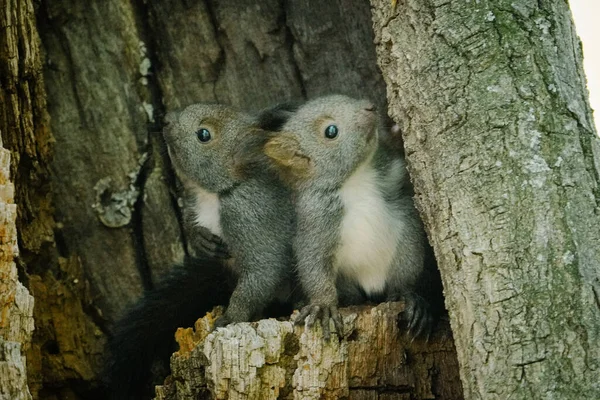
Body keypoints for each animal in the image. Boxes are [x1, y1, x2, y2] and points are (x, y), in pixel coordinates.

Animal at [264, 94, 442, 340]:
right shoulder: (316, 220)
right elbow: (313, 262)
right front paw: (323, 304)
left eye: (345, 97)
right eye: (331, 131)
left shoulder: (392, 178)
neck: (355, 179)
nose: (370, 107)